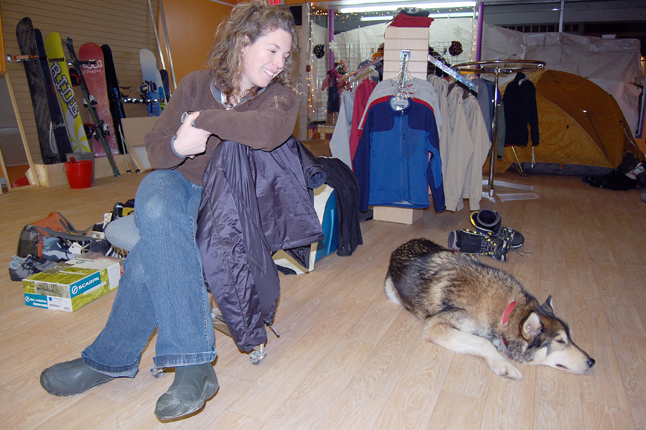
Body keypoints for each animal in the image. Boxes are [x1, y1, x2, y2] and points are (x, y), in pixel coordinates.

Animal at [384, 239, 596, 380]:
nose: (592, 361)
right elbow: (483, 342)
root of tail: (399, 247)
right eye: (560, 341)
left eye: (570, 338)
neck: (507, 313)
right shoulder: (436, 326)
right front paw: (503, 364)